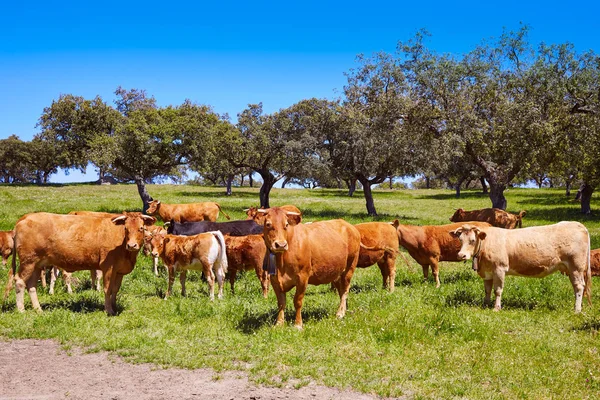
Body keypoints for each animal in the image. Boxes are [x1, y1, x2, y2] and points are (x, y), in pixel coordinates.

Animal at [9, 212, 155, 316]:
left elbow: (115, 290)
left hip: (37, 264)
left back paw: (38, 309)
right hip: (28, 262)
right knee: (20, 281)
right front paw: (109, 310)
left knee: (31, 285)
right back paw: (21, 309)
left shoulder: (119, 271)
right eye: (126, 228)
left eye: (141, 228)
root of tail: (26, 217)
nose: (132, 245)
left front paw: (114, 307)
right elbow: (107, 289)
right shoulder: (108, 268)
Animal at [450, 222, 592, 312]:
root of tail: (578, 225)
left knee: (579, 287)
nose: (461, 255)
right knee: (577, 287)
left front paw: (496, 308)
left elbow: (497, 290)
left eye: (472, 240)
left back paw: (577, 309)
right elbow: (487, 290)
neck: (486, 244)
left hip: (576, 267)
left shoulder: (499, 269)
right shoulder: (487, 273)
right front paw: (485, 305)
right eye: (460, 240)